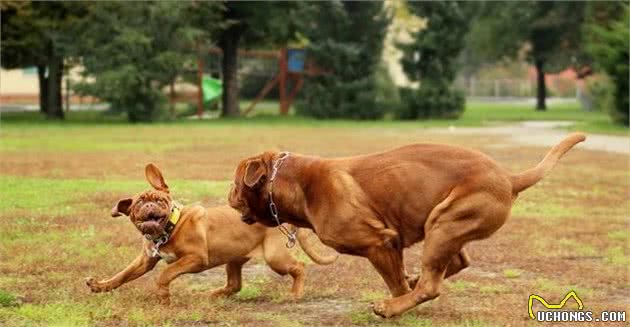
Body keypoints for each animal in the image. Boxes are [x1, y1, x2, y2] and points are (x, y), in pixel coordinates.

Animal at [87, 164, 340, 304]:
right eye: (139, 203)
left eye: (160, 200)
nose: (150, 206)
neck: (169, 228)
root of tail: (280, 216)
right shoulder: (144, 261)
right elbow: (123, 275)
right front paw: (101, 286)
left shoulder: (196, 259)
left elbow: (166, 273)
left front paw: (163, 296)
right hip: (234, 258)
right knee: (234, 285)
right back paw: (210, 295)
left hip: (274, 256)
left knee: (299, 267)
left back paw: (295, 294)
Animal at [231, 133, 588, 318]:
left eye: (235, 184)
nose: (228, 196)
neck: (297, 183)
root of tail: (510, 178)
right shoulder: (393, 244)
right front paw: (406, 284)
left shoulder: (380, 242)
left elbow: (396, 284)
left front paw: (395, 303)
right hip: (445, 226)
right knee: (456, 262)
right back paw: (415, 280)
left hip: (443, 224)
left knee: (432, 284)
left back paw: (392, 306)